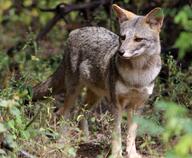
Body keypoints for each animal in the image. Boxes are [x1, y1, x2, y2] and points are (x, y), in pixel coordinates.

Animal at [31, 4, 164, 158]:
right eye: (122, 37)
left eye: (138, 39)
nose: (120, 52)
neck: (137, 76)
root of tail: (76, 31)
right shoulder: (116, 105)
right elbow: (117, 133)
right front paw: (116, 154)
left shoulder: (138, 106)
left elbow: (131, 135)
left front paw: (132, 154)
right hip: (74, 92)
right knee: (63, 113)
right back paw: (63, 143)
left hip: (95, 97)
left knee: (80, 112)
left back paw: (85, 140)